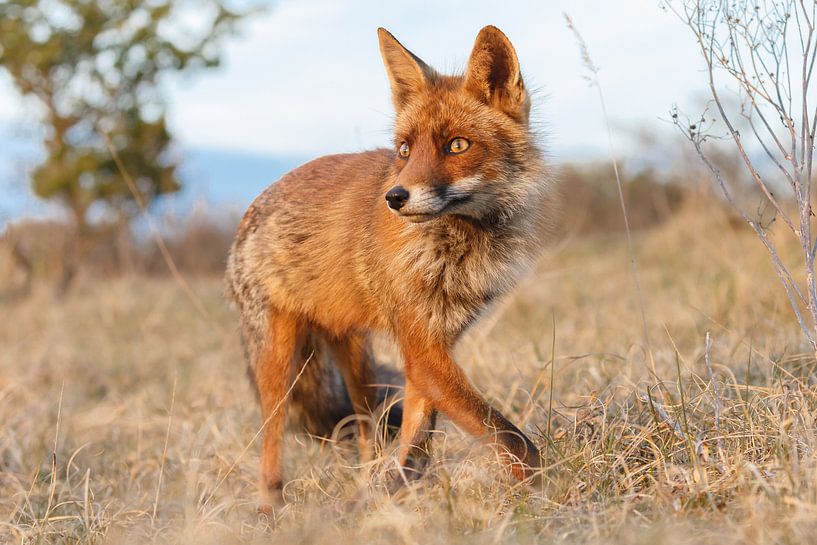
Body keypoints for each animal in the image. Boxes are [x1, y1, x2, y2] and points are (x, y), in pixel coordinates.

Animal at [223, 24, 556, 510]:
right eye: (404, 149)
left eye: (457, 145)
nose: (395, 197)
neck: (454, 249)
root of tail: (251, 210)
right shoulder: (421, 349)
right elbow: (513, 440)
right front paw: (552, 492)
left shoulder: (432, 349)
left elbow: (417, 442)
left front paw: (394, 498)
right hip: (279, 363)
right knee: (272, 442)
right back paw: (271, 510)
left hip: (355, 361)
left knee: (367, 432)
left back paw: (363, 486)